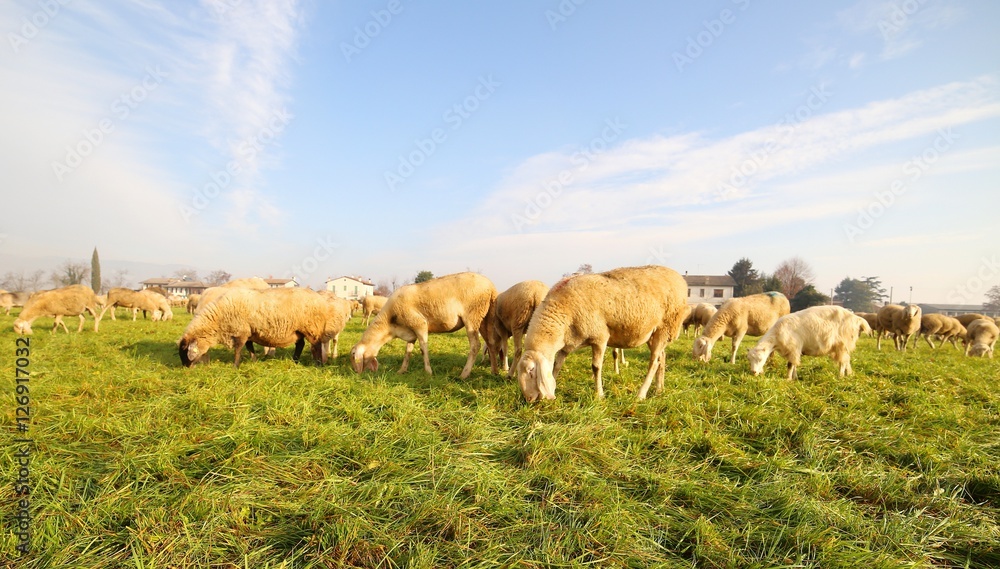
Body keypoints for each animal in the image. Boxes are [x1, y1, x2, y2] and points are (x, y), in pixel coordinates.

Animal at [180, 288, 348, 368]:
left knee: (316, 345)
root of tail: (320, 300)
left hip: (311, 327)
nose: (186, 368)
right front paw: (253, 360)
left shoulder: (241, 331)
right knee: (300, 344)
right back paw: (295, 360)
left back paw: (318, 363)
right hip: (298, 330)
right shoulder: (248, 331)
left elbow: (238, 349)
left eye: (186, 352)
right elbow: (249, 347)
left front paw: (235, 366)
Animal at [352, 272, 500, 380]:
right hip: (485, 318)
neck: (390, 325)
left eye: (353, 354)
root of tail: (492, 287)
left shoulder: (419, 323)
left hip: (472, 316)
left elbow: (423, 349)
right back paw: (494, 372)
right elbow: (408, 351)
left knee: (476, 345)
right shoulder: (410, 331)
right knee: (491, 343)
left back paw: (464, 374)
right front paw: (402, 370)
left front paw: (428, 372)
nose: (354, 372)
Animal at [516, 264, 688, 402]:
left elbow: (596, 367)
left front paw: (599, 395)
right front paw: (554, 383)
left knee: (654, 362)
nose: (529, 400)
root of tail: (678, 278)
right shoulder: (568, 343)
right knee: (662, 358)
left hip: (665, 327)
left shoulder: (600, 337)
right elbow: (557, 365)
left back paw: (641, 394)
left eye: (531, 371)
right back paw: (659, 389)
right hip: (654, 333)